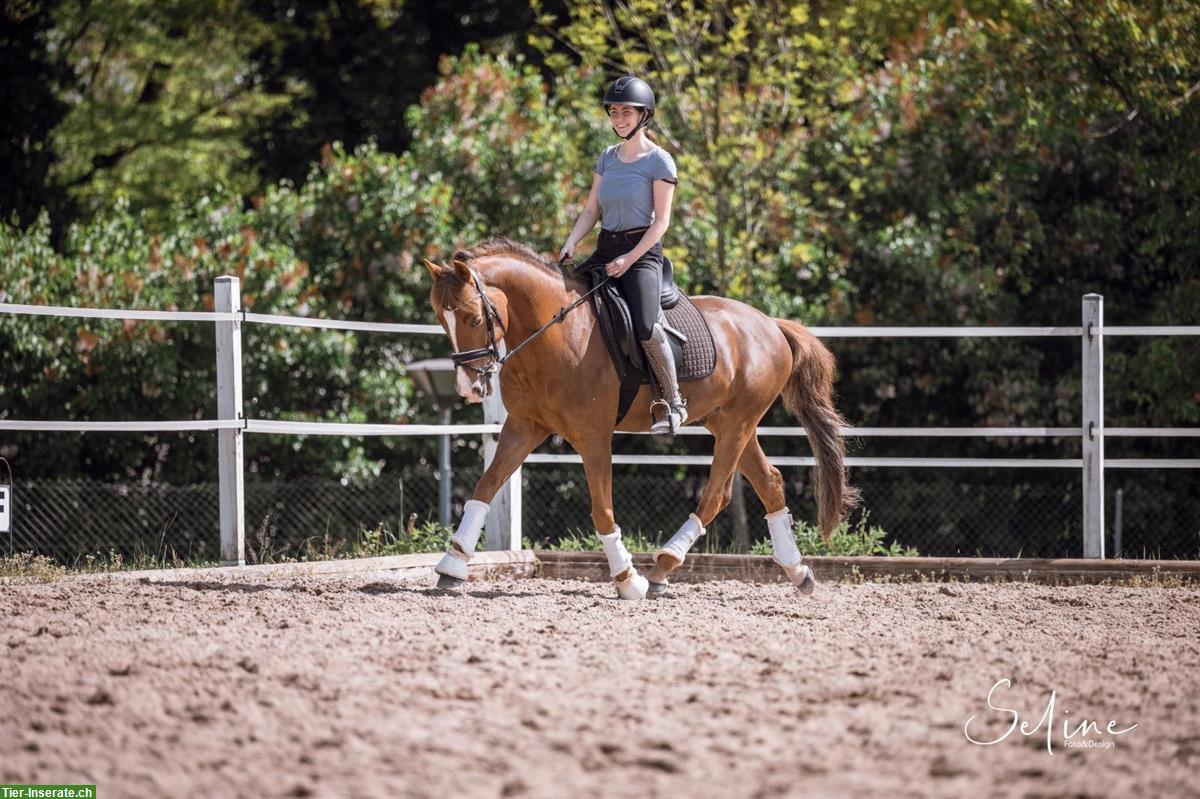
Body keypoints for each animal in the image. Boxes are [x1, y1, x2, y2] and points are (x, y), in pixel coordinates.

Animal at [422, 237, 854, 597]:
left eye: (474, 319)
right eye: (442, 320)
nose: (468, 388)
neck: (556, 333)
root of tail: (771, 325)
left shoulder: (593, 435)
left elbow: (601, 509)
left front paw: (628, 580)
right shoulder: (524, 427)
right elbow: (486, 486)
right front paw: (451, 565)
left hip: (738, 422)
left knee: (717, 493)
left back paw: (663, 566)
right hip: (727, 422)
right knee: (770, 482)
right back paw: (798, 571)